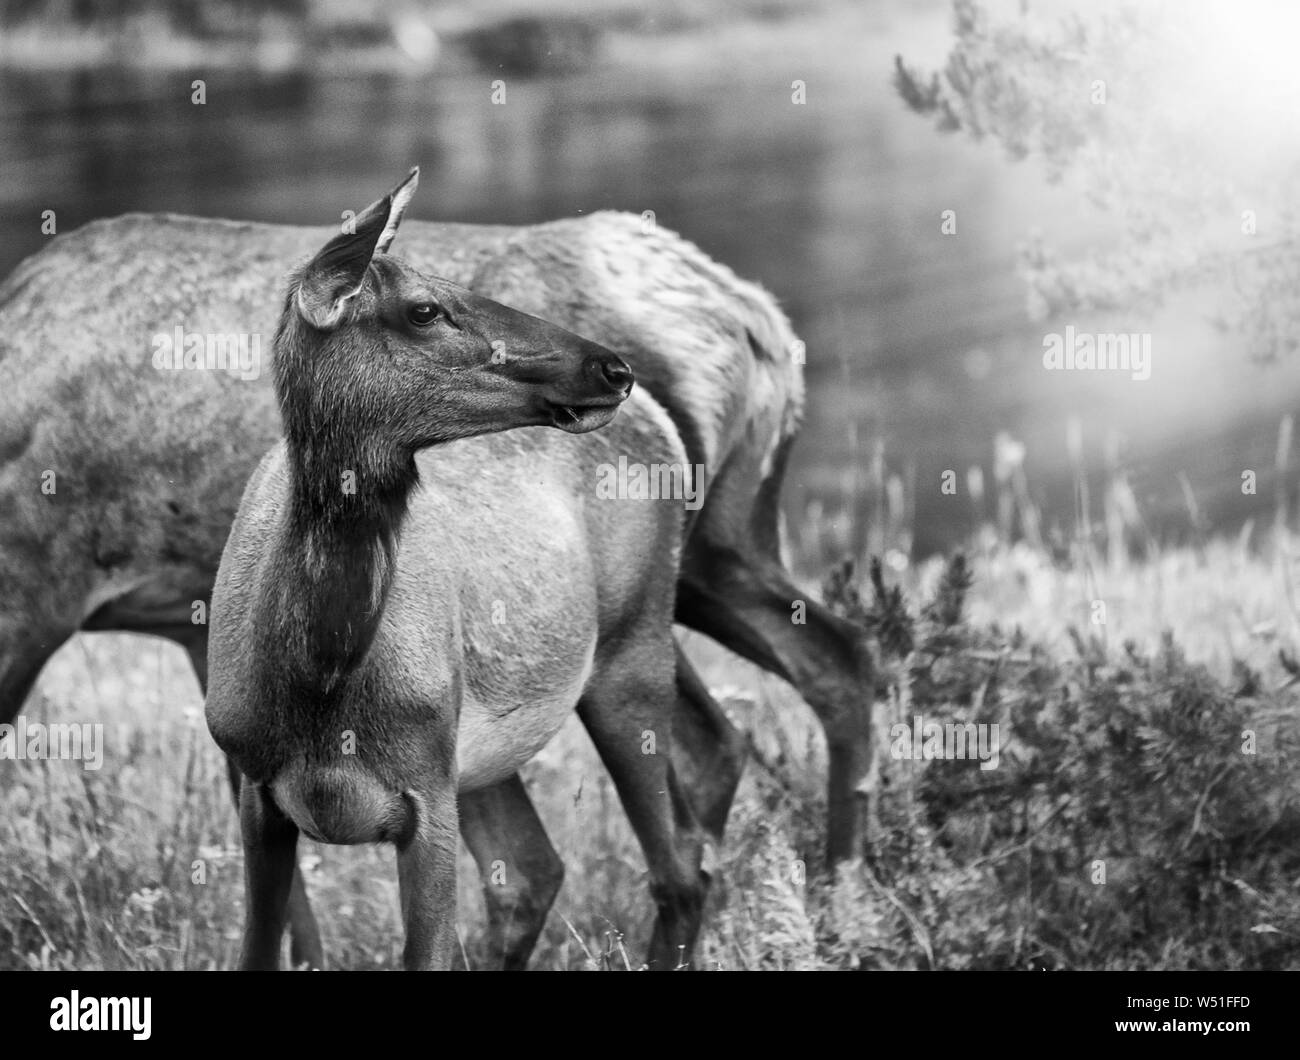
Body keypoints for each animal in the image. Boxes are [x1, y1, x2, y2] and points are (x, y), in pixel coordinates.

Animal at [204, 171, 717, 967]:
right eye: (424, 308)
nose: (612, 367)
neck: (320, 681)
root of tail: (662, 419)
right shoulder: (256, 788)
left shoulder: (426, 795)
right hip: (488, 748)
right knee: (539, 869)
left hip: (631, 642)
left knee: (679, 866)